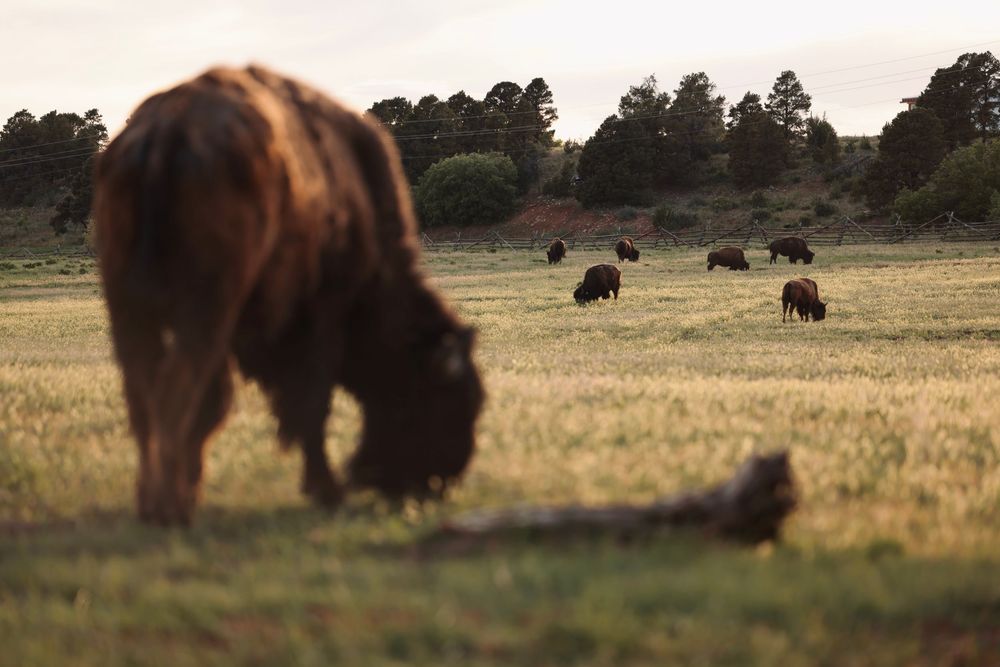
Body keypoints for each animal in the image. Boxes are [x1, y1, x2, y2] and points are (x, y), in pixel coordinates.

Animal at [93, 65, 484, 525]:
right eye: (448, 400)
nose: (436, 485)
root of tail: (167, 131)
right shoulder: (321, 314)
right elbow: (309, 404)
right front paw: (327, 491)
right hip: (205, 309)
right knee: (176, 387)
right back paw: (169, 509)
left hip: (127, 307)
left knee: (145, 393)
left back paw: (155, 501)